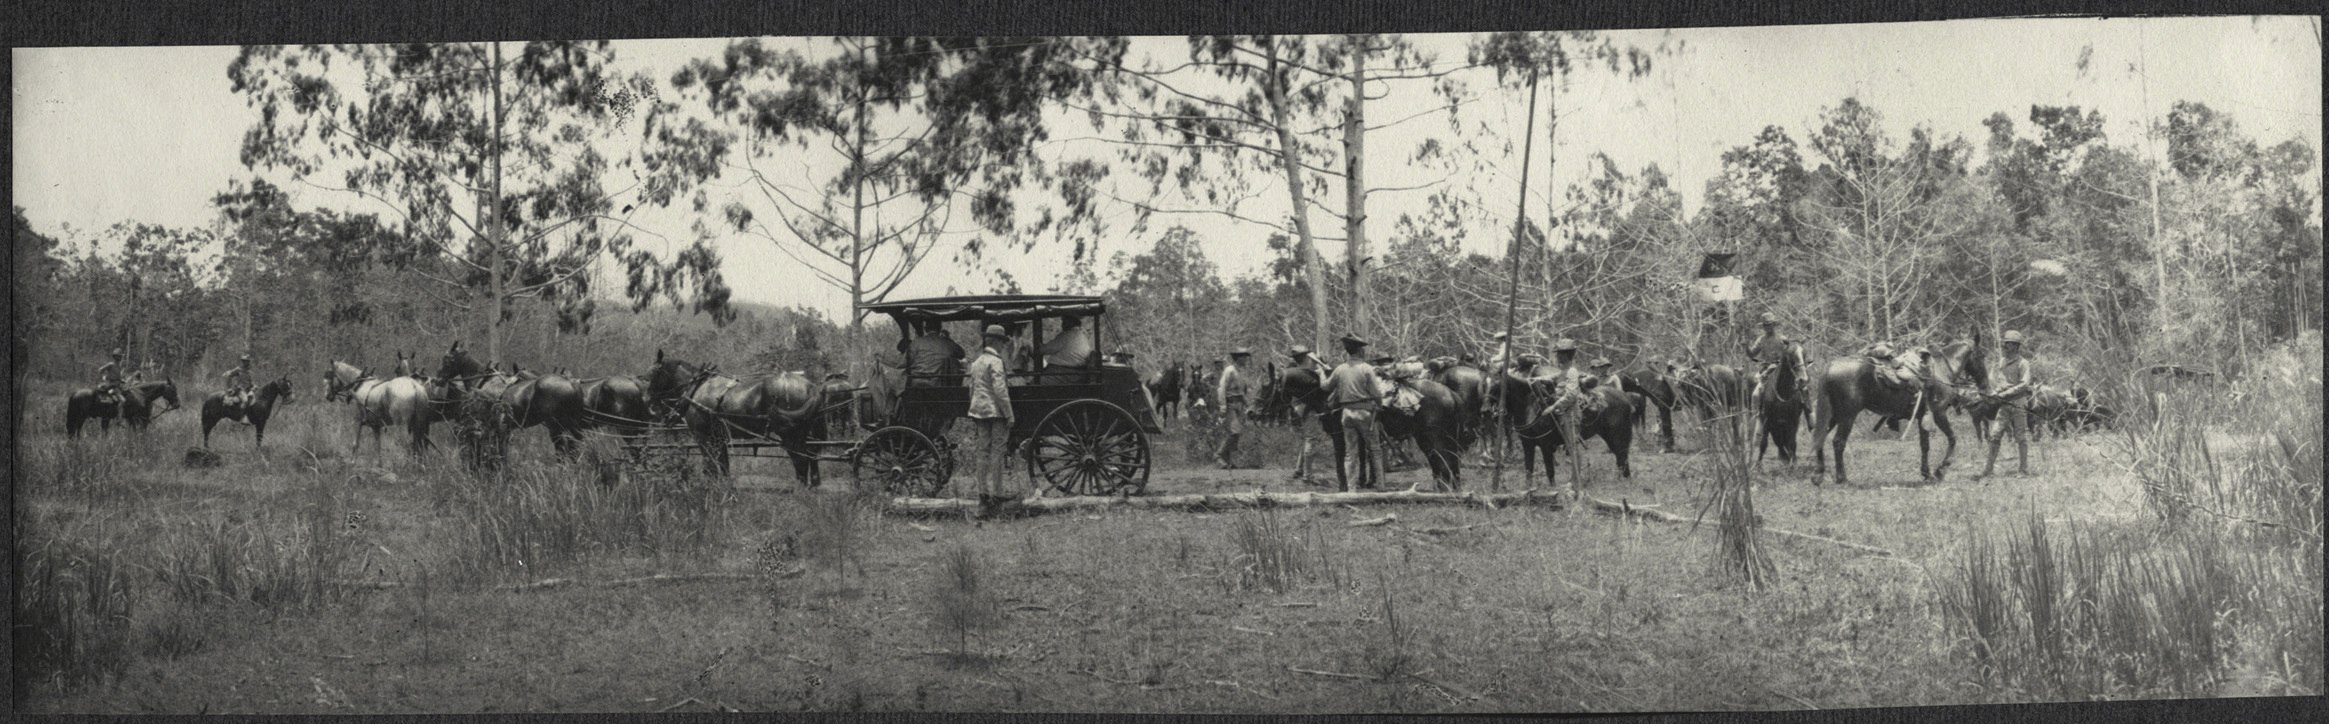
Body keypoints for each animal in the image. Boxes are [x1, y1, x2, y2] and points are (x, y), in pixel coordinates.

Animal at [1807, 339, 1993, 488]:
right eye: (1981, 356)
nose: (1985, 385)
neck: (1941, 370)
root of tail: (1831, 366)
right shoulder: (1939, 414)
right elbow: (1952, 439)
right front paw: (1940, 470)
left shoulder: (1922, 417)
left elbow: (1924, 446)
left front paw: (1927, 474)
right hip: (1847, 416)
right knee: (1838, 442)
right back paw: (1842, 479)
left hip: (1833, 415)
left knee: (1820, 437)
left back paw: (1818, 475)